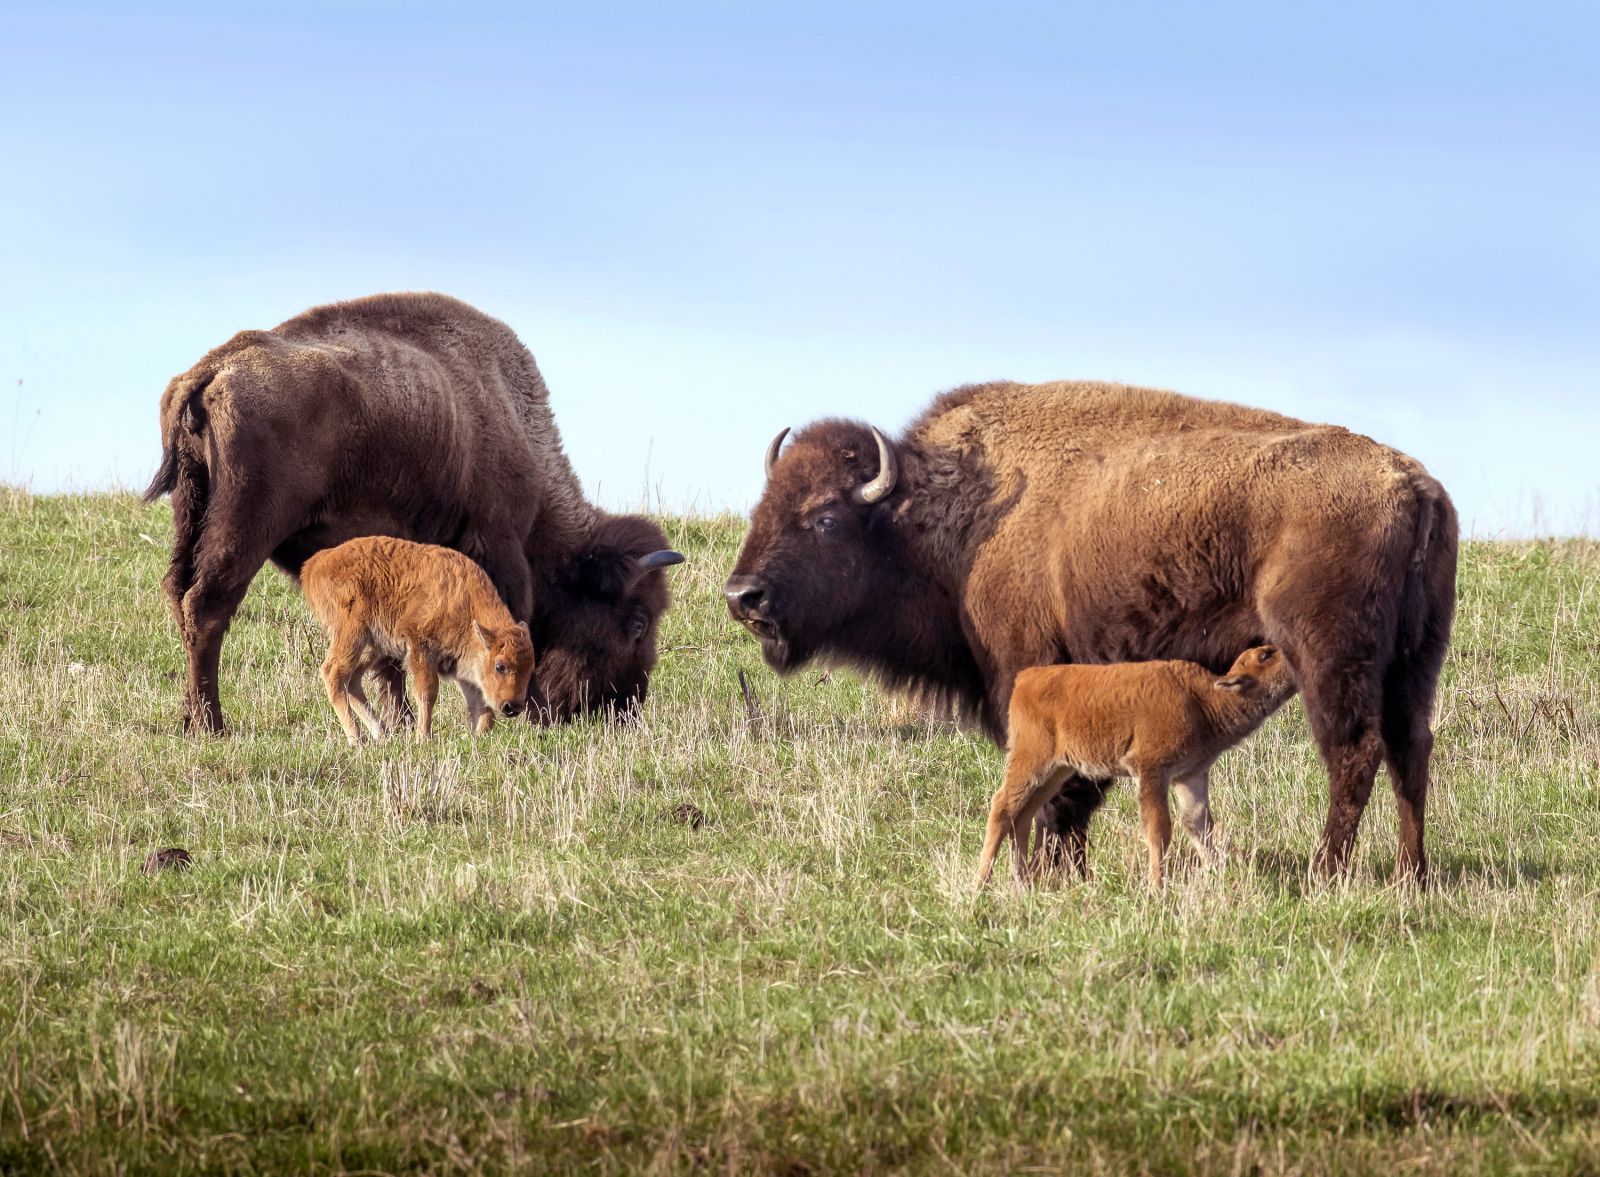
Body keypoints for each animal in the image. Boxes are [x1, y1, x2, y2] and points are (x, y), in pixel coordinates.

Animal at [302, 534, 540, 738]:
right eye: (500, 666)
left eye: (530, 669)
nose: (513, 706)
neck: (466, 603)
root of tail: (316, 563)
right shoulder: (420, 645)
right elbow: (428, 691)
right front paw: (423, 737)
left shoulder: (464, 669)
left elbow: (481, 707)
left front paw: (477, 737)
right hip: (352, 634)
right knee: (334, 673)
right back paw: (357, 739)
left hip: (374, 646)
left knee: (352, 680)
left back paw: (381, 735)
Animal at [972, 649, 1299, 889]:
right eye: (1265, 655)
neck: (1202, 699)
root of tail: (1026, 678)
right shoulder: (1152, 771)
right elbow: (1159, 829)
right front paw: (1157, 887)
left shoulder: (1190, 776)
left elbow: (1199, 825)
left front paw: (1217, 874)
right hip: (1032, 761)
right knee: (1002, 806)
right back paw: (981, 884)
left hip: (1056, 771)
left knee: (1022, 814)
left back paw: (1022, 883)